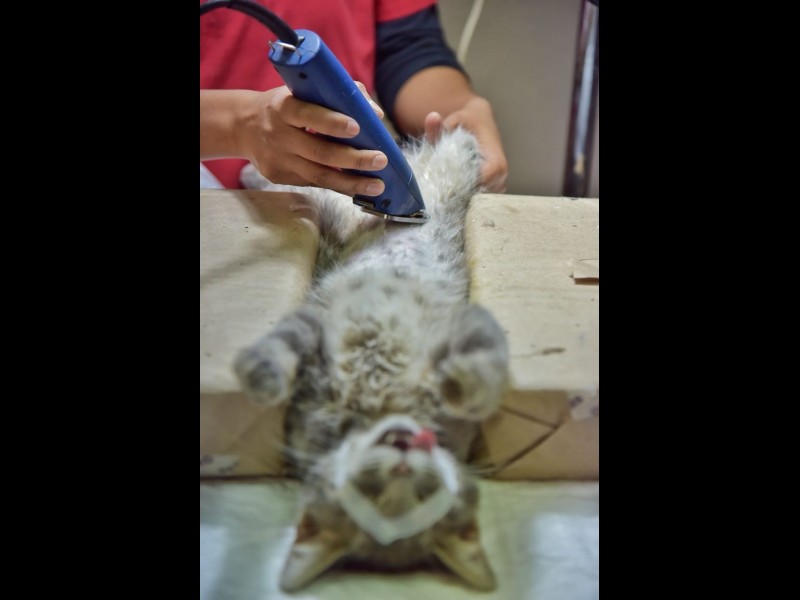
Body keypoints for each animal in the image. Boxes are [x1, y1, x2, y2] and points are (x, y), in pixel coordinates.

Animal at [234, 127, 510, 592]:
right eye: (368, 489)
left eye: (425, 495)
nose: (403, 449)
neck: (379, 401)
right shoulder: (315, 322)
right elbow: (282, 344)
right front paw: (260, 374)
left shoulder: (469, 320)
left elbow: (481, 370)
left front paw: (455, 380)